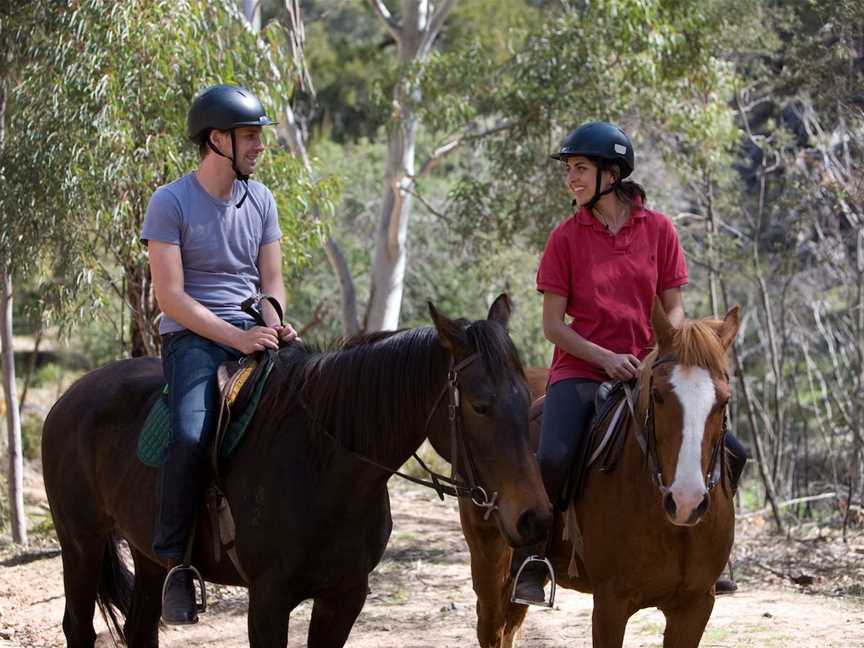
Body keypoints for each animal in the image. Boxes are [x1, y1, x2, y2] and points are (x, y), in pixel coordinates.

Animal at [44, 294, 552, 648]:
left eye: (528, 400)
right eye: (480, 405)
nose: (536, 517)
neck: (325, 468)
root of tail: (70, 398)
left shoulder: (344, 596)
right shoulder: (269, 600)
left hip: (149, 556)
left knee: (140, 628)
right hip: (81, 543)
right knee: (78, 627)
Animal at [456, 300, 740, 648]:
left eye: (724, 400)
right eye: (658, 395)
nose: (686, 502)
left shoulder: (695, 606)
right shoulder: (610, 604)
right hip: (489, 558)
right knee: (491, 628)